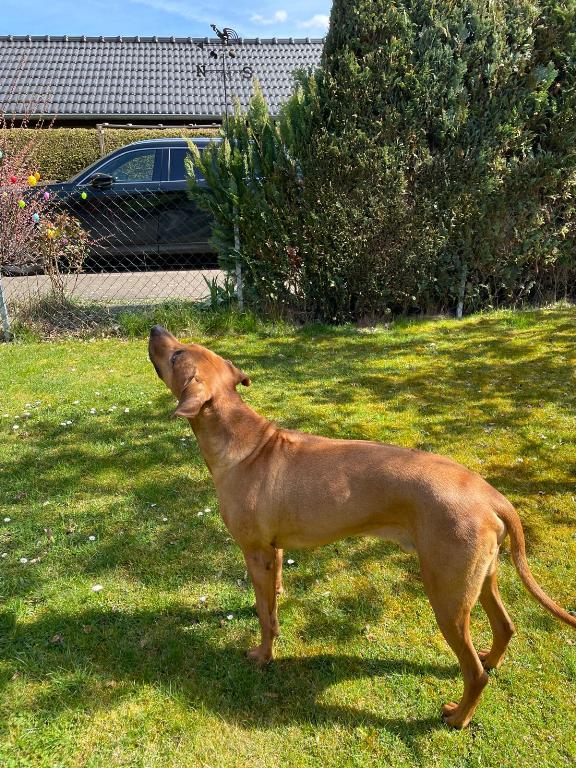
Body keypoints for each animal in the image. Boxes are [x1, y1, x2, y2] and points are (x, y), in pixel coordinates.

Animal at [148, 325, 576, 728]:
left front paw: (264, 654)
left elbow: (267, 618)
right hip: (479, 578)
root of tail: (490, 495)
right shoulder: (273, 550)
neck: (245, 441)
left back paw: (458, 716)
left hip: (447, 596)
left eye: (178, 355)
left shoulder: (256, 551)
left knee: (474, 673)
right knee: (505, 627)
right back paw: (492, 658)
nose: (155, 329)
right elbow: (270, 596)